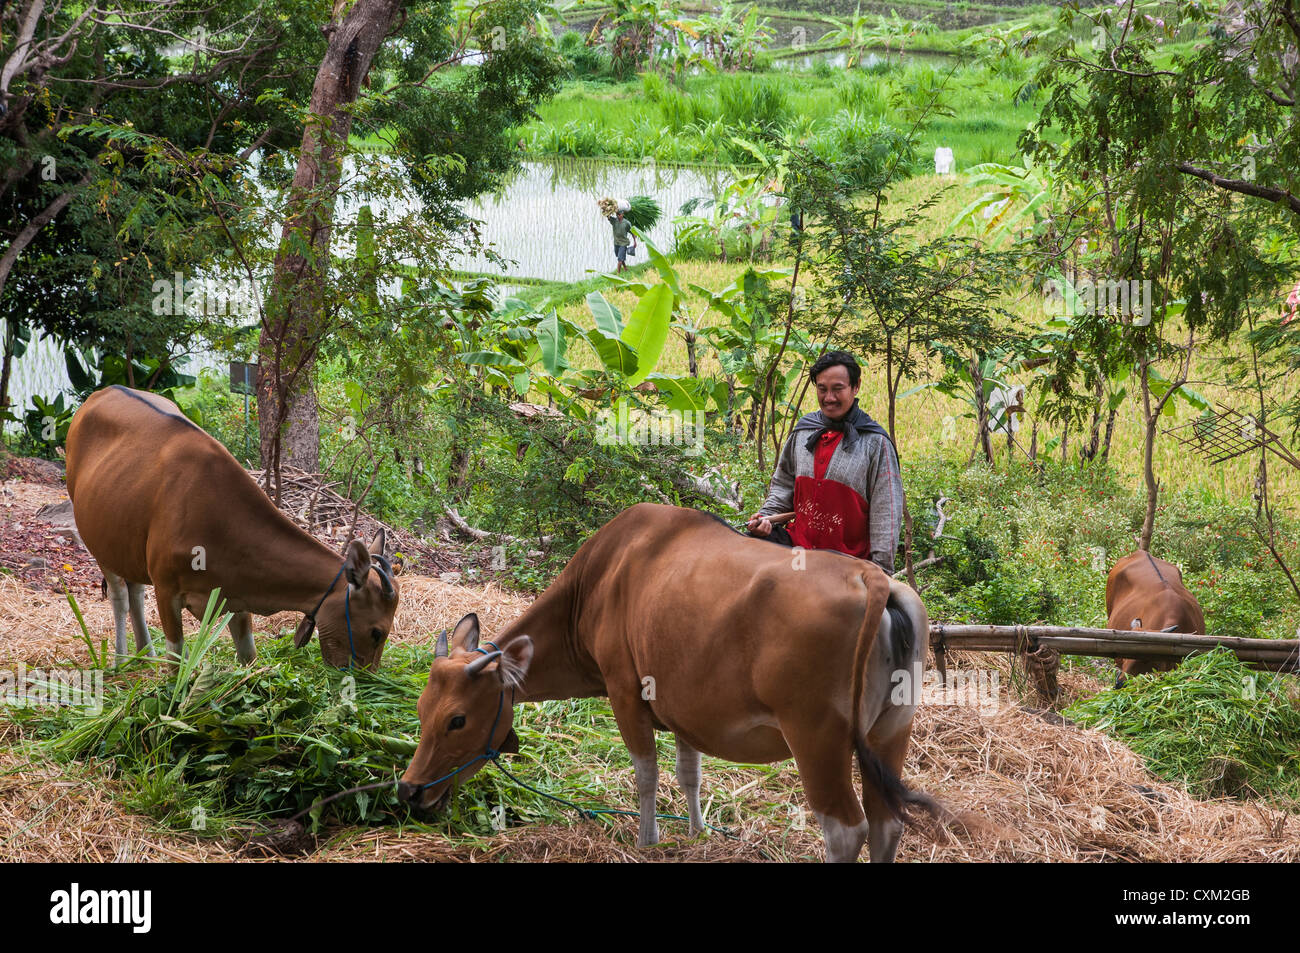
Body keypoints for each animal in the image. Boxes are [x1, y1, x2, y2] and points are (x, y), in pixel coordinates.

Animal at [64, 382, 400, 665]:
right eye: (376, 632)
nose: (366, 679)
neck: (218, 521)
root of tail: (100, 393)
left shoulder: (237, 596)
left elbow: (248, 655)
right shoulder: (166, 588)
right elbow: (176, 657)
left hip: (127, 541)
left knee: (134, 591)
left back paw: (145, 652)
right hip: (98, 541)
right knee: (120, 596)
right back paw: (120, 660)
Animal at [395, 504, 935, 863]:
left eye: (457, 719)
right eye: (420, 711)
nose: (409, 791)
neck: (597, 583)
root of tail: (871, 579)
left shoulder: (625, 692)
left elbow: (647, 774)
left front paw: (647, 840)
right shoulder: (684, 707)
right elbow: (688, 772)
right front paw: (696, 833)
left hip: (816, 740)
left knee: (846, 830)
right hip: (890, 734)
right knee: (886, 823)